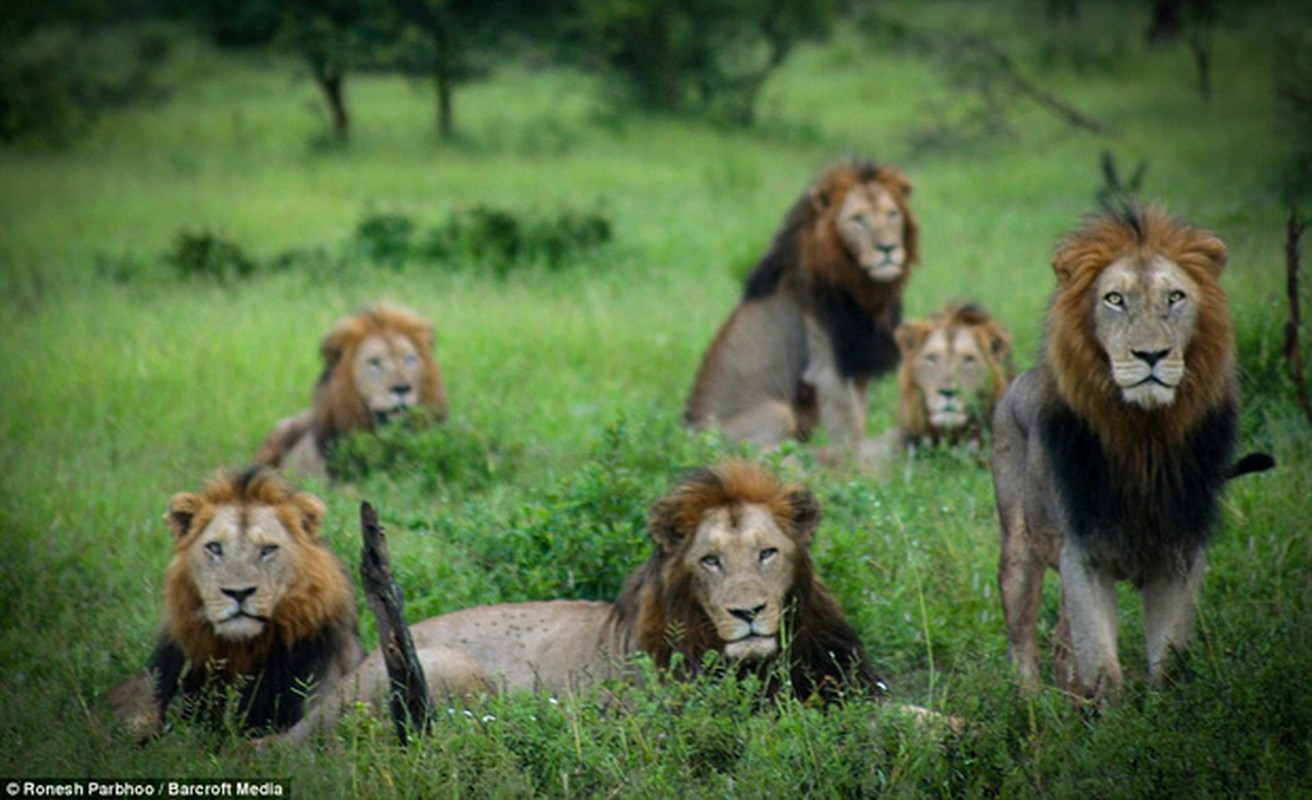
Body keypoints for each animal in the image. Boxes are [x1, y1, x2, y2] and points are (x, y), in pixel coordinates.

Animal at [682, 158, 918, 451]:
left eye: (892, 214)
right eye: (858, 219)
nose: (887, 249)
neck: (864, 289)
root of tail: (686, 435)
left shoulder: (857, 364)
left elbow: (859, 421)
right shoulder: (828, 369)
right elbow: (848, 431)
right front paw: (853, 463)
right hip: (776, 413)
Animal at [991, 205, 1270, 702]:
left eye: (1175, 297)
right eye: (1114, 299)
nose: (1151, 354)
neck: (1144, 437)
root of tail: (1014, 384)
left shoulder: (1182, 556)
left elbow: (1169, 658)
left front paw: (1162, 714)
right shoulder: (1082, 552)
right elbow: (1102, 663)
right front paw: (1111, 718)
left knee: (1061, 639)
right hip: (1019, 547)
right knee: (1023, 639)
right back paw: (1032, 704)